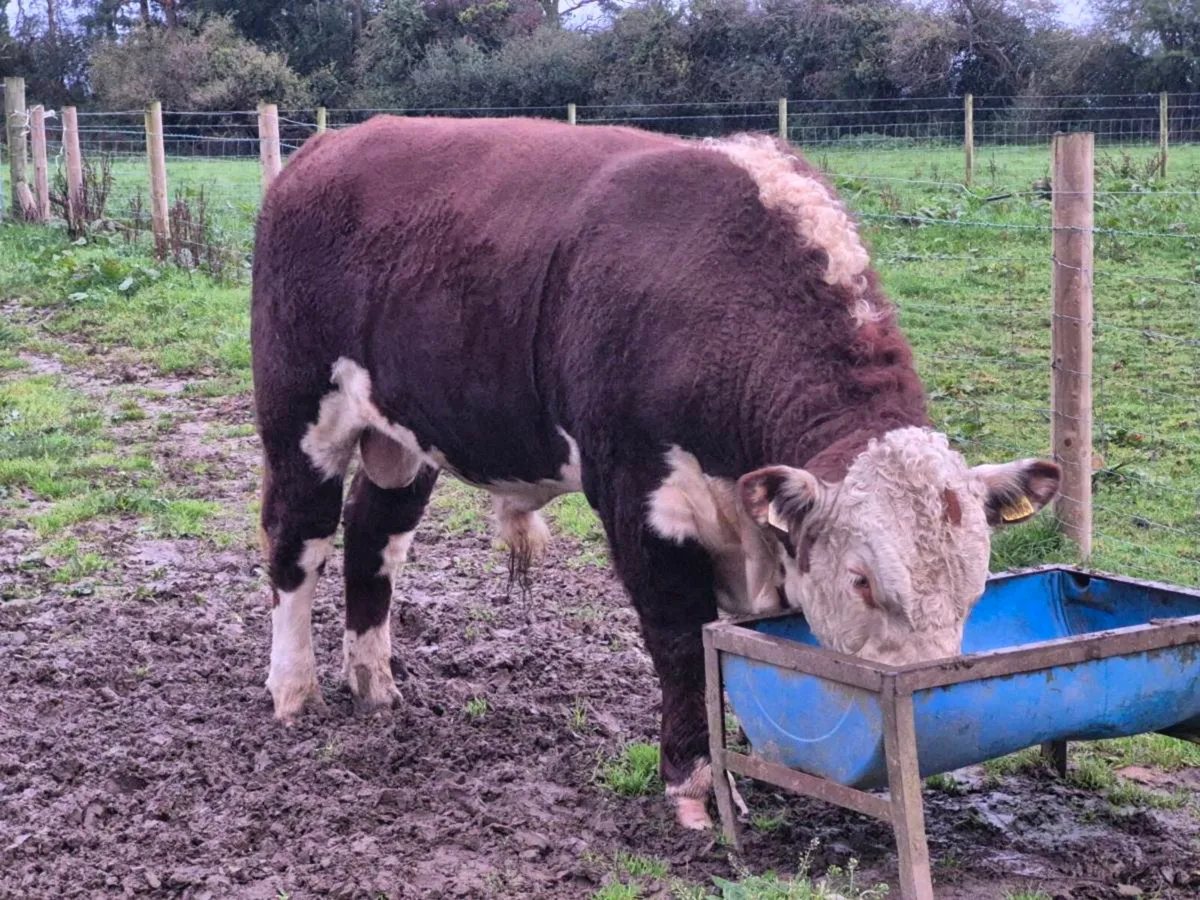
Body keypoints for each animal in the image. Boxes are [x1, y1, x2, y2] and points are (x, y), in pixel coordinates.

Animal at [250, 115, 1061, 830]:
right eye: (862, 581)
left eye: (976, 584)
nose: (932, 720)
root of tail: (331, 146)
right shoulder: (639, 495)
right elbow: (680, 642)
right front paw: (698, 786)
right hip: (300, 411)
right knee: (299, 540)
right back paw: (295, 689)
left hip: (407, 435)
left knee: (373, 540)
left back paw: (374, 686)